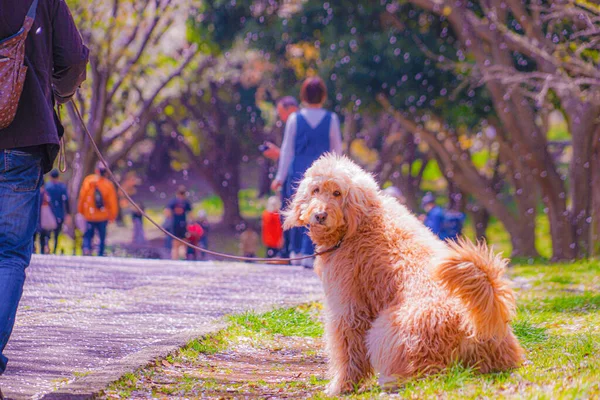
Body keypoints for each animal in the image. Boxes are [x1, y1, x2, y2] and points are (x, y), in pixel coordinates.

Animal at [284, 155, 524, 396]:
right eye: (316, 190)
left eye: (337, 193)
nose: (320, 215)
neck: (359, 222)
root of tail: (474, 324)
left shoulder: (348, 305)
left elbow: (347, 348)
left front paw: (341, 385)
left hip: (389, 329)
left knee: (423, 371)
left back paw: (393, 380)